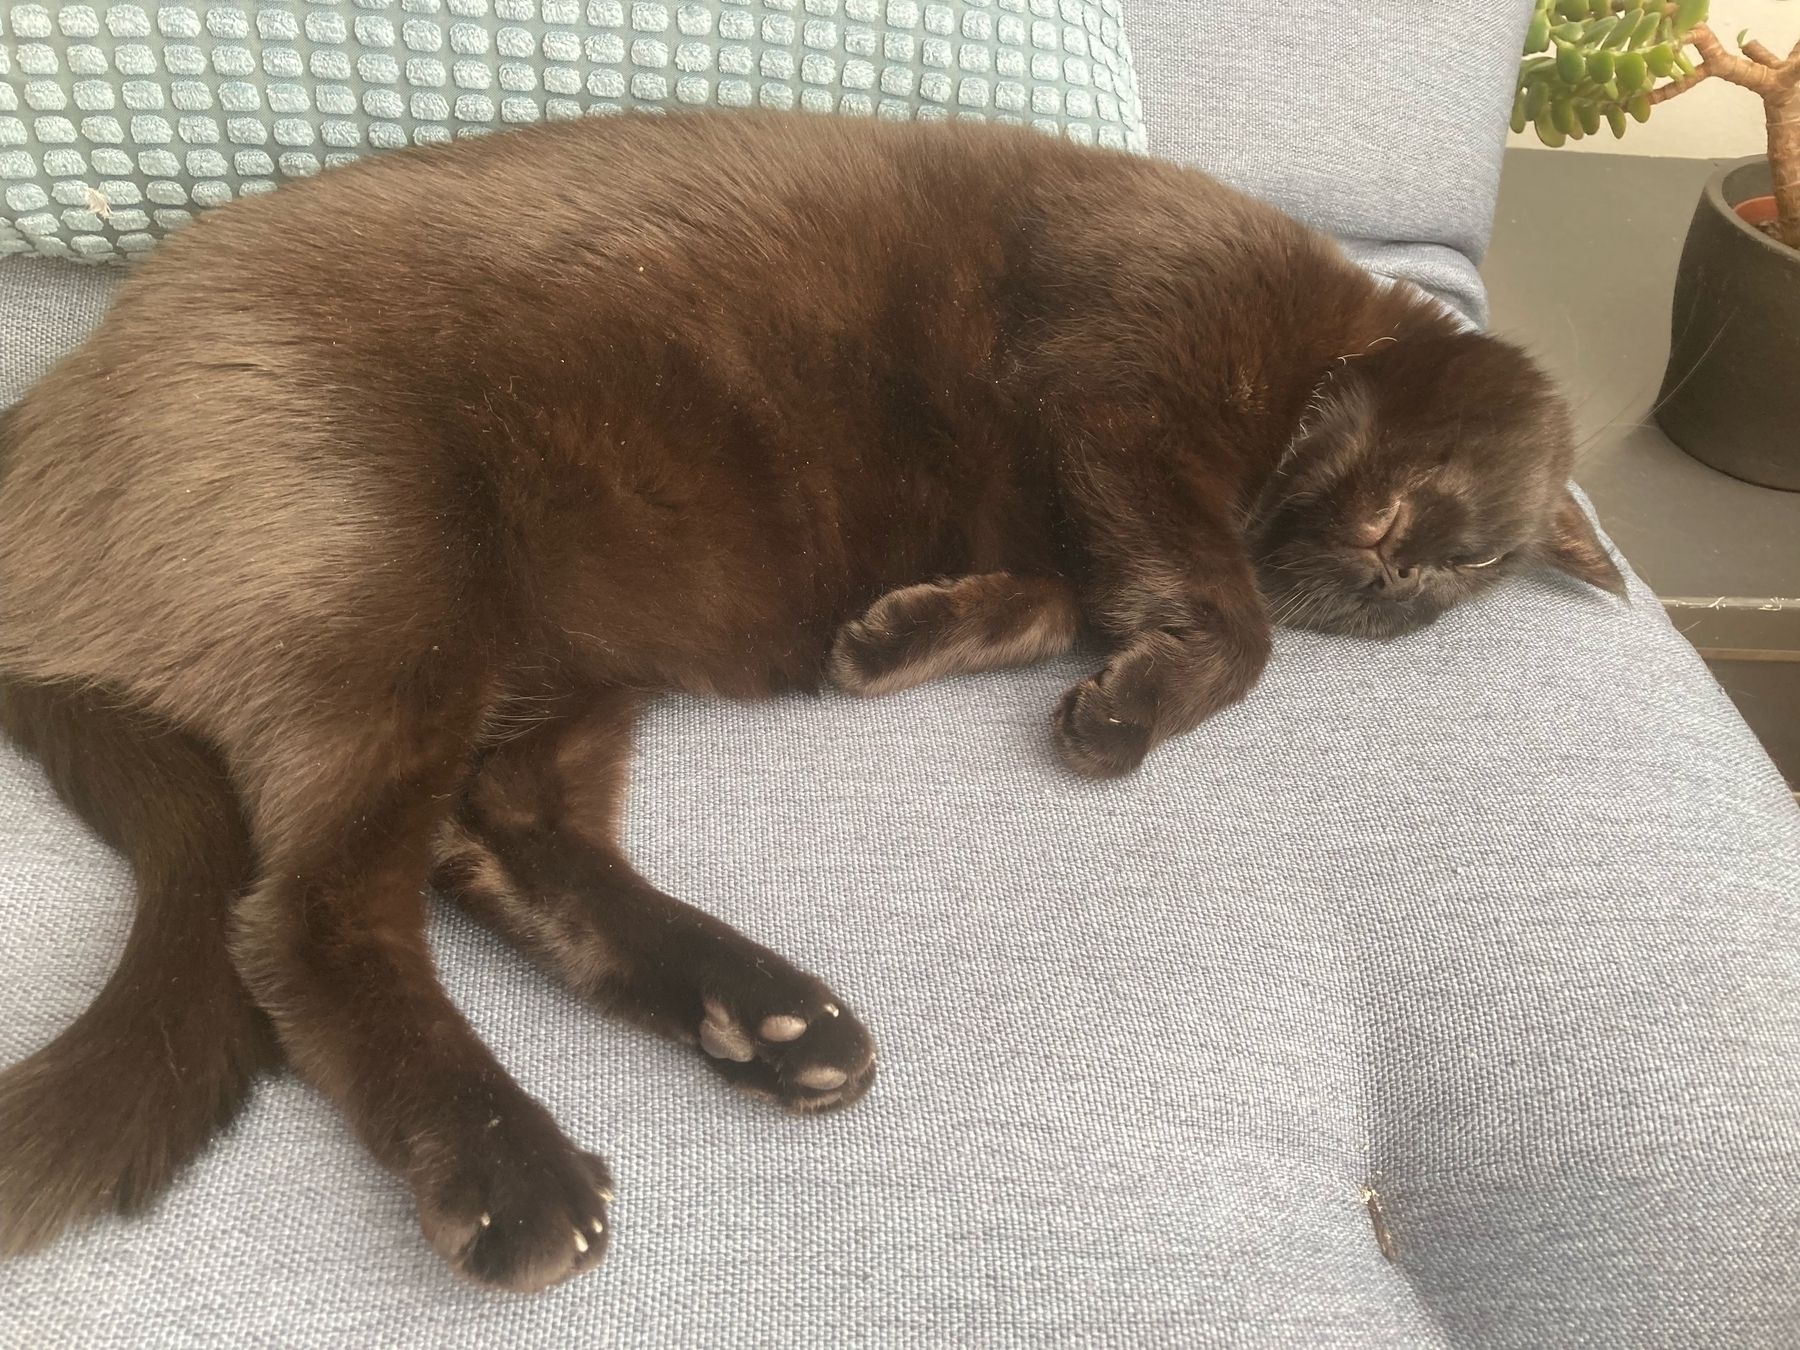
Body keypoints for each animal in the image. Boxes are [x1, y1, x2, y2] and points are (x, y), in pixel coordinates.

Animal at [0, 111, 1620, 1296]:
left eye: (1464, 575)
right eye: (1450, 533)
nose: (1396, 581)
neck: (1306, 348)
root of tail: (45, 418)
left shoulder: (1078, 510)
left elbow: (1055, 599)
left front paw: (899, 642)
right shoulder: (1124, 397)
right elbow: (1231, 625)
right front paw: (1117, 715)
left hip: (556, 657)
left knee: (496, 838)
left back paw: (772, 1022)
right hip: (395, 576)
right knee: (310, 916)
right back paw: (517, 1175)